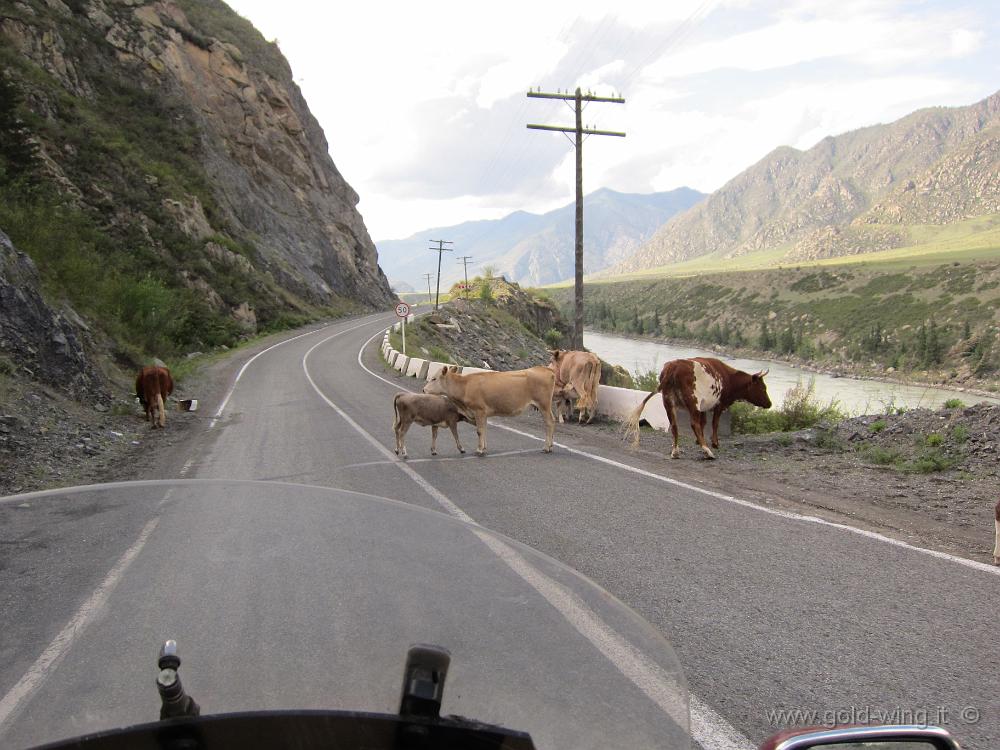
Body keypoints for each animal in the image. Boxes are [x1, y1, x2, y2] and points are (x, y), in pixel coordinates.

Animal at [424, 366, 560, 458]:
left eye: (434, 378)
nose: (424, 389)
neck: (465, 386)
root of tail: (545, 369)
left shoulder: (479, 410)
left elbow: (479, 431)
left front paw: (479, 450)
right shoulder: (483, 414)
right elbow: (484, 430)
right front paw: (484, 448)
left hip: (544, 405)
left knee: (549, 423)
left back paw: (546, 448)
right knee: (551, 422)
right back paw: (551, 446)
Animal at [624, 356, 772, 458]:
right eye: (763, 388)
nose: (770, 404)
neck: (728, 378)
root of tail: (674, 366)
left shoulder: (703, 407)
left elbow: (704, 423)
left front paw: (698, 440)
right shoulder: (718, 405)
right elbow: (714, 423)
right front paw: (715, 443)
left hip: (668, 401)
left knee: (675, 425)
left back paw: (675, 451)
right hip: (692, 402)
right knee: (693, 424)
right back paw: (707, 451)